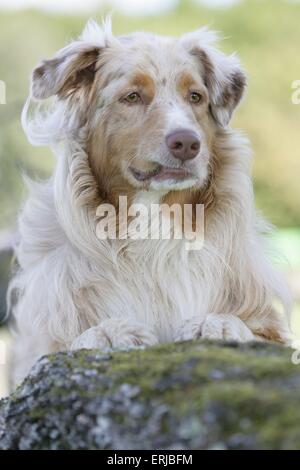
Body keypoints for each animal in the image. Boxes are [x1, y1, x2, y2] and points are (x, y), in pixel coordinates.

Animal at [8, 18, 290, 388]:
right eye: (132, 97)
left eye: (195, 97)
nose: (187, 143)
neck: (152, 223)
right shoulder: (34, 352)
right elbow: (70, 342)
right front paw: (108, 334)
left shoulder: (269, 326)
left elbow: (250, 328)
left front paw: (218, 323)